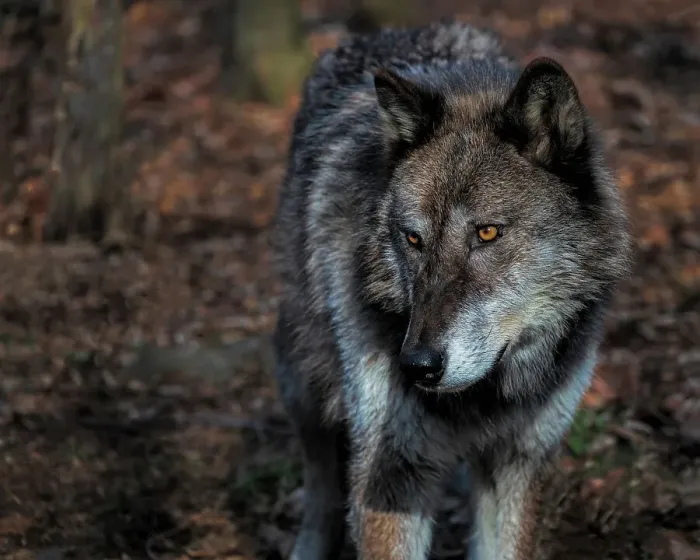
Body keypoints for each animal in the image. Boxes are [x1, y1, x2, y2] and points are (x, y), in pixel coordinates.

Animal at [271, 19, 631, 560]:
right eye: (413, 239)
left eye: (487, 233)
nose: (416, 365)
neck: (483, 399)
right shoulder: (391, 473)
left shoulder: (519, 462)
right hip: (303, 384)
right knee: (321, 483)